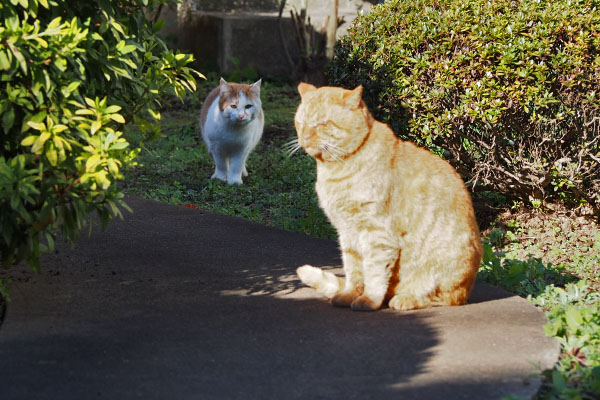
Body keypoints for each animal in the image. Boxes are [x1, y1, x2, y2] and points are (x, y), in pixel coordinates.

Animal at [294, 83, 482, 310]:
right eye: (301, 123)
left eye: (323, 124)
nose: (304, 137)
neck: (336, 170)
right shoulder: (347, 233)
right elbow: (354, 271)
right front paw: (349, 295)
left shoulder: (378, 234)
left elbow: (374, 274)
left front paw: (368, 300)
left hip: (449, 267)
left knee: (443, 298)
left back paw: (405, 299)